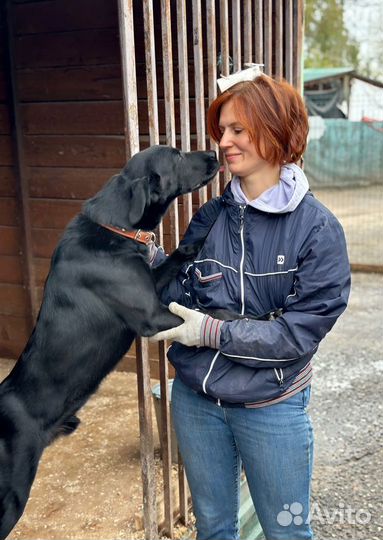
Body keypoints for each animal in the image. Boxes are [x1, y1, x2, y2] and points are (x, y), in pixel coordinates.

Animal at [0, 143, 219, 536]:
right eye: (177, 156)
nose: (213, 152)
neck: (116, 225)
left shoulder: (153, 281)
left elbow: (178, 254)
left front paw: (201, 231)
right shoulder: (151, 315)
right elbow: (214, 317)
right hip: (10, 492)